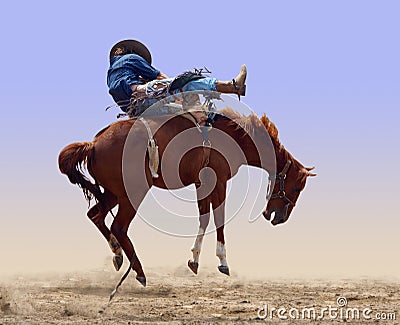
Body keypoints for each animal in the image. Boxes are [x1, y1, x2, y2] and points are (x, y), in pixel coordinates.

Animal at [57, 108, 314, 286]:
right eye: (296, 189)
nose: (279, 217)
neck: (233, 136)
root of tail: (93, 143)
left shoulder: (203, 184)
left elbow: (204, 218)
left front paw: (194, 260)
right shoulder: (219, 182)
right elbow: (218, 219)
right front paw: (222, 261)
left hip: (113, 193)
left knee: (95, 215)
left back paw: (118, 255)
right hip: (132, 193)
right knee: (118, 226)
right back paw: (139, 272)